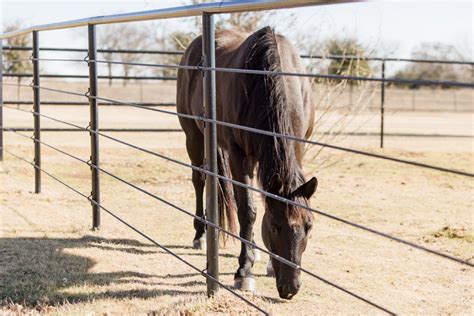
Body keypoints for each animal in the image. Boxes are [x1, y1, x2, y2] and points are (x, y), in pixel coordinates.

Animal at [176, 26, 316, 298]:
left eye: (309, 226)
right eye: (275, 227)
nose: (290, 288)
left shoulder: (298, 146)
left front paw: (265, 261)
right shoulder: (240, 156)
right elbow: (248, 212)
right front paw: (244, 272)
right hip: (194, 137)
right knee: (200, 180)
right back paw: (200, 235)